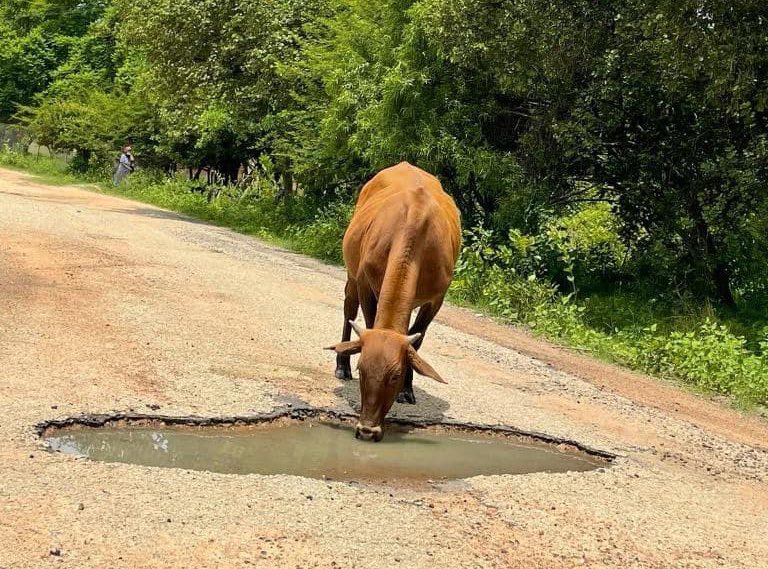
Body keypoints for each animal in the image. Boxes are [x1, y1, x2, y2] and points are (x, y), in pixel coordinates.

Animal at [326, 162, 461, 442]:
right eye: (363, 369)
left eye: (395, 376)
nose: (367, 430)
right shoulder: (365, 281)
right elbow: (367, 321)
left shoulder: (436, 298)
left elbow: (416, 340)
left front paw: (407, 390)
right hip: (351, 274)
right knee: (348, 309)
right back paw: (341, 364)